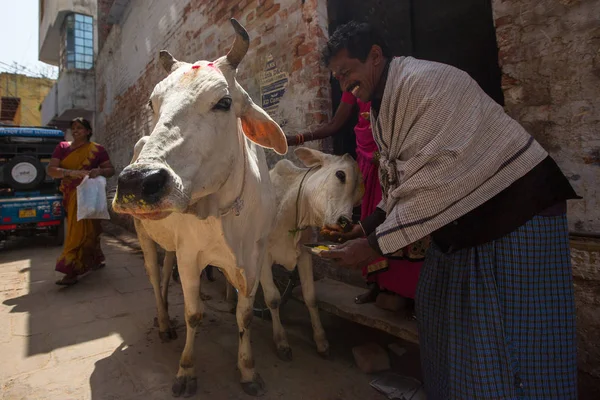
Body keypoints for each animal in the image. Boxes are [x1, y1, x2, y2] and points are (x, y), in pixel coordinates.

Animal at [115, 19, 290, 396]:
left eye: (224, 101)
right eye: (152, 104)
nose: (137, 181)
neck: (224, 213)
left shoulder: (255, 256)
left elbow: (247, 314)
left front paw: (248, 370)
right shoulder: (190, 255)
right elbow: (194, 314)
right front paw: (186, 371)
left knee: (165, 270)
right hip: (144, 233)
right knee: (154, 277)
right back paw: (164, 323)